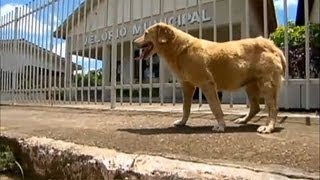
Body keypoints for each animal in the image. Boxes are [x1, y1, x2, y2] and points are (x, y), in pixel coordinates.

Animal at [134, 22, 286, 133]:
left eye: (146, 33)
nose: (134, 43)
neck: (180, 49)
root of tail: (272, 45)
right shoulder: (187, 86)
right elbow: (185, 107)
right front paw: (182, 122)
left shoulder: (207, 84)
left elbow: (215, 107)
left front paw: (221, 125)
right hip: (250, 85)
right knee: (255, 107)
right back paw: (243, 120)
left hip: (267, 84)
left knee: (273, 108)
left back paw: (268, 127)